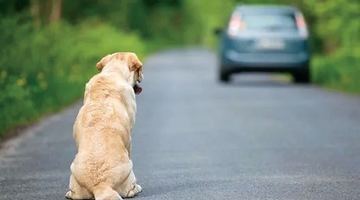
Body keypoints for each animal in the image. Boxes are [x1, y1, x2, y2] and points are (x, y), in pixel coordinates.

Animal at [66, 52, 143, 199]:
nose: (142, 76)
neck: (113, 72)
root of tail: (100, 185)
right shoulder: (129, 138)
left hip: (73, 172)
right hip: (129, 169)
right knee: (130, 190)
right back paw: (137, 188)